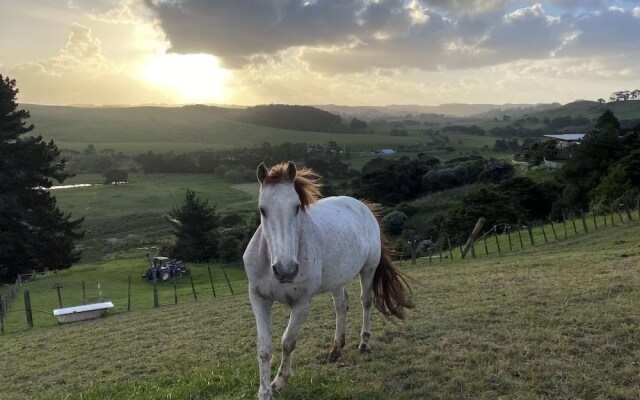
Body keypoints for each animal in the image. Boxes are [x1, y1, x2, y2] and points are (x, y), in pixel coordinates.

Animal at [241, 161, 416, 398]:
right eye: (262, 209)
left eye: (296, 207)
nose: (286, 270)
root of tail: (362, 206)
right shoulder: (258, 299)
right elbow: (264, 348)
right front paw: (264, 392)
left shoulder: (302, 304)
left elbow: (288, 342)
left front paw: (280, 381)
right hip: (336, 281)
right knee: (341, 305)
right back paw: (336, 349)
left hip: (368, 270)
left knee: (365, 302)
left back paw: (364, 344)